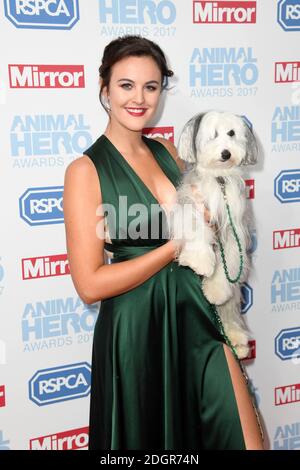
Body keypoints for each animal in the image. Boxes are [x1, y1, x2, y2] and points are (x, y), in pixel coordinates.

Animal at [169, 111, 258, 360]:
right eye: (214, 134)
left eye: (232, 133)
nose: (226, 153)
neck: (219, 180)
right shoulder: (191, 204)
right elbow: (195, 229)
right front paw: (199, 261)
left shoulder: (232, 230)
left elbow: (225, 266)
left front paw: (216, 291)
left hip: (234, 295)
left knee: (229, 311)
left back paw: (237, 341)